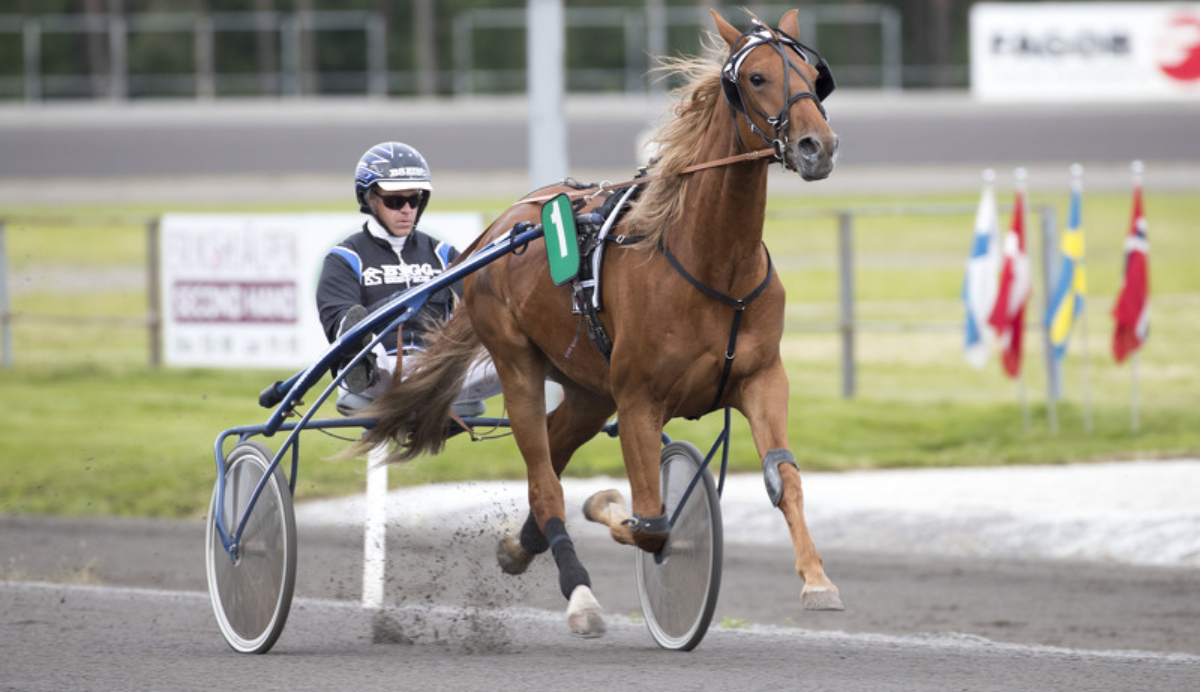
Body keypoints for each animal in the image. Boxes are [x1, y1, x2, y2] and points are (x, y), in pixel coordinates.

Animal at [356, 8, 843, 637]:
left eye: (812, 74)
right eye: (757, 77)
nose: (817, 147)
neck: (712, 262)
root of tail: (500, 228)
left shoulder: (761, 379)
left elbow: (785, 479)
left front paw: (817, 581)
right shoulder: (638, 398)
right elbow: (653, 524)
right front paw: (612, 509)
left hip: (591, 390)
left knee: (555, 450)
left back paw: (520, 546)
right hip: (519, 363)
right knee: (543, 477)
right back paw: (579, 592)